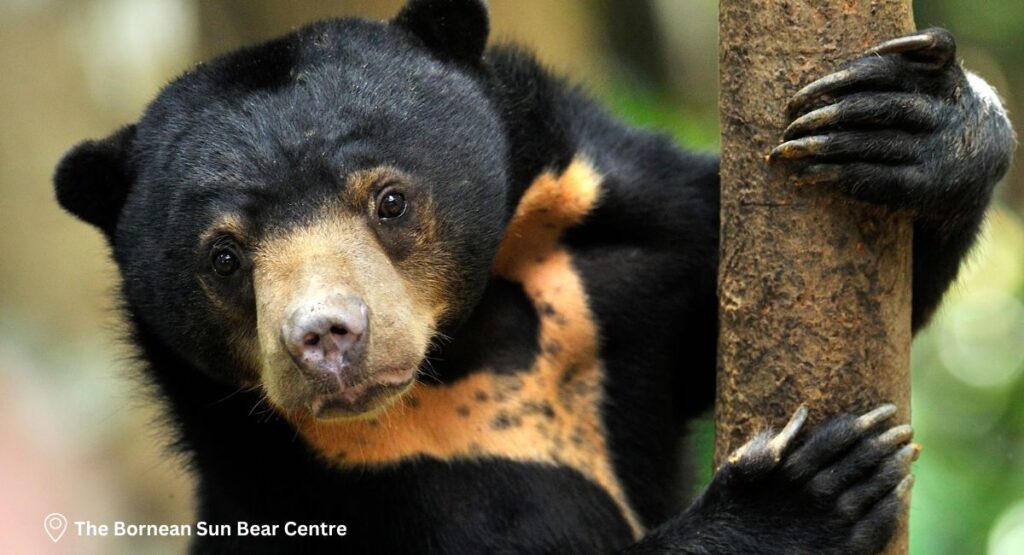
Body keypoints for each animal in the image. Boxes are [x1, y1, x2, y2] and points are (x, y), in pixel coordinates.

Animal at [53, 0, 1014, 553]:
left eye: (390, 200)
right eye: (223, 257)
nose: (325, 337)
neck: (470, 346)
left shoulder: (622, 276)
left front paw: (915, 123)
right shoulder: (331, 493)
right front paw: (807, 489)